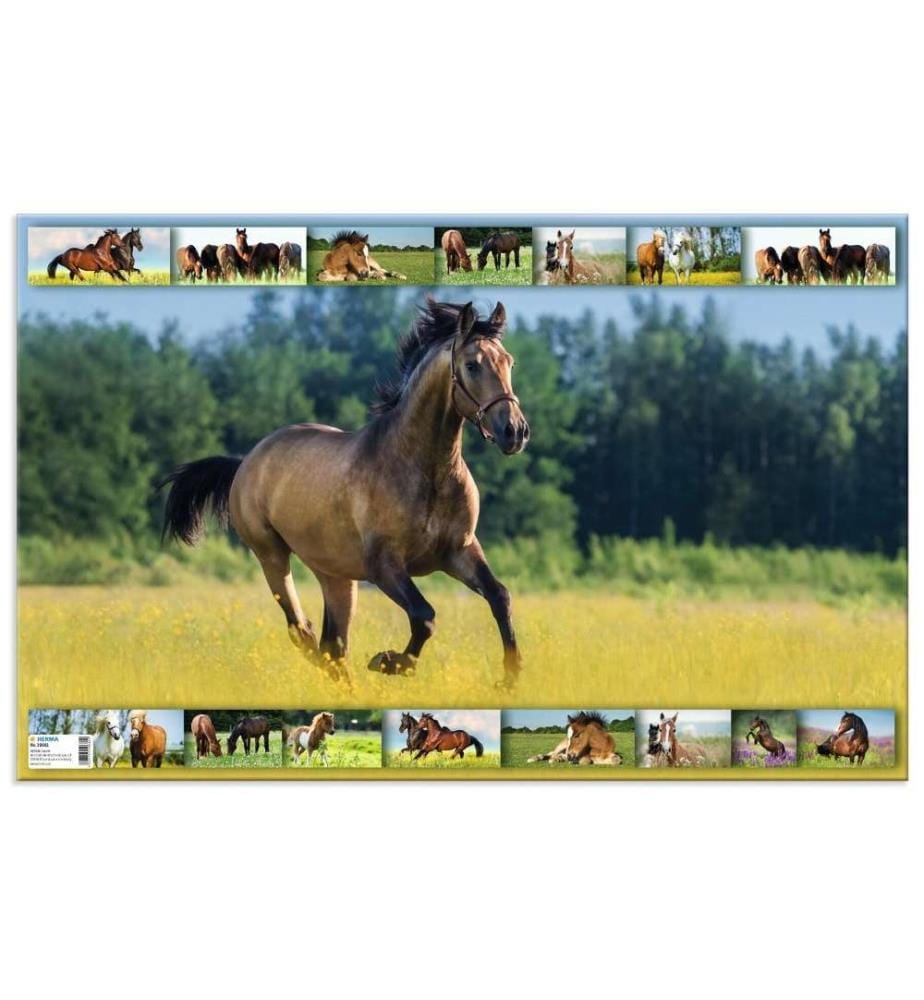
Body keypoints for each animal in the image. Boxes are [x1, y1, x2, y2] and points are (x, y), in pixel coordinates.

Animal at [161, 299, 529, 688]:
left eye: (509, 362)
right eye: (472, 365)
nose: (515, 432)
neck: (425, 470)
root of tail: (246, 461)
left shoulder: (460, 551)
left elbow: (500, 597)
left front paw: (509, 677)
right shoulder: (384, 565)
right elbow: (424, 616)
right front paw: (388, 662)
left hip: (336, 576)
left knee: (332, 644)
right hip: (271, 555)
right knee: (303, 632)